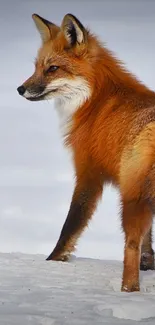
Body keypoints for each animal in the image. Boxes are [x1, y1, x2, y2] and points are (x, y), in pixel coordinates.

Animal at [17, 12, 155, 292]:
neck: (95, 101)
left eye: (53, 68)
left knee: (130, 247)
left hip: (132, 200)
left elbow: (71, 225)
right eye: (37, 66)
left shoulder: (88, 173)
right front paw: (150, 265)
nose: (20, 89)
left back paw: (129, 291)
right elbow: (149, 240)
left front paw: (52, 262)